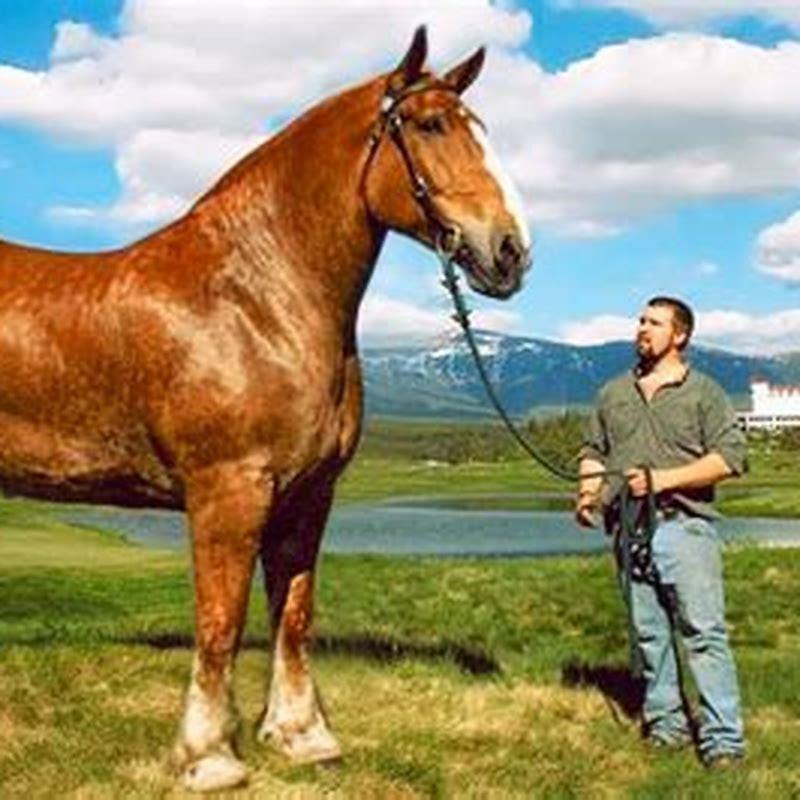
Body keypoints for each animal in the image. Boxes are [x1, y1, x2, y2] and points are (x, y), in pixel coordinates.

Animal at [1, 28, 532, 792]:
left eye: (479, 128)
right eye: (431, 125)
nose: (510, 251)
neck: (252, 299)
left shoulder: (309, 495)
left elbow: (293, 615)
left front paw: (302, 736)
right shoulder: (230, 492)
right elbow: (221, 622)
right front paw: (207, 757)